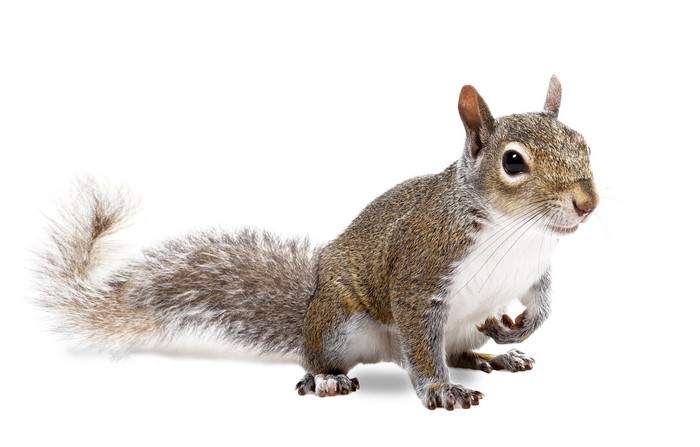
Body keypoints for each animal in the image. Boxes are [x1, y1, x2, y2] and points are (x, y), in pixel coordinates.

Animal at [36, 75, 598, 410]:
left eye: (584, 143)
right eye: (512, 162)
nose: (587, 202)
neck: (516, 232)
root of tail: (309, 311)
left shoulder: (535, 270)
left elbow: (542, 305)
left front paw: (516, 329)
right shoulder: (420, 273)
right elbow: (421, 341)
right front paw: (439, 390)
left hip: (453, 330)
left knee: (457, 349)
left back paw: (493, 357)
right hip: (338, 323)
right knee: (330, 356)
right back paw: (328, 379)